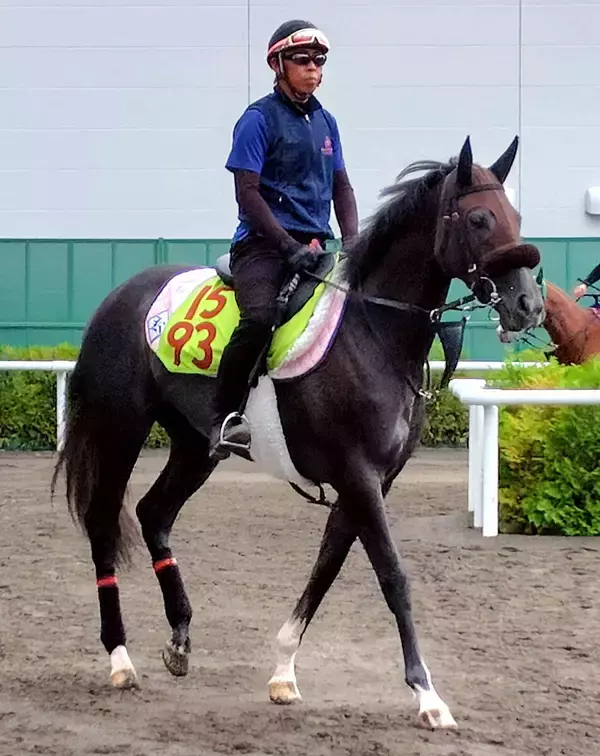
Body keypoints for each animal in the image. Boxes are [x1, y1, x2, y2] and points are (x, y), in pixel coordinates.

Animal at [52, 136, 544, 730]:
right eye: (477, 218)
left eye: (515, 217)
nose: (528, 304)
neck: (372, 331)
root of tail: (120, 295)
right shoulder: (358, 476)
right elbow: (392, 576)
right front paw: (427, 695)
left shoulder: (370, 482)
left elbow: (327, 566)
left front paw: (284, 671)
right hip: (120, 429)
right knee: (105, 524)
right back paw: (121, 659)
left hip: (197, 446)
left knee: (154, 514)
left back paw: (180, 636)